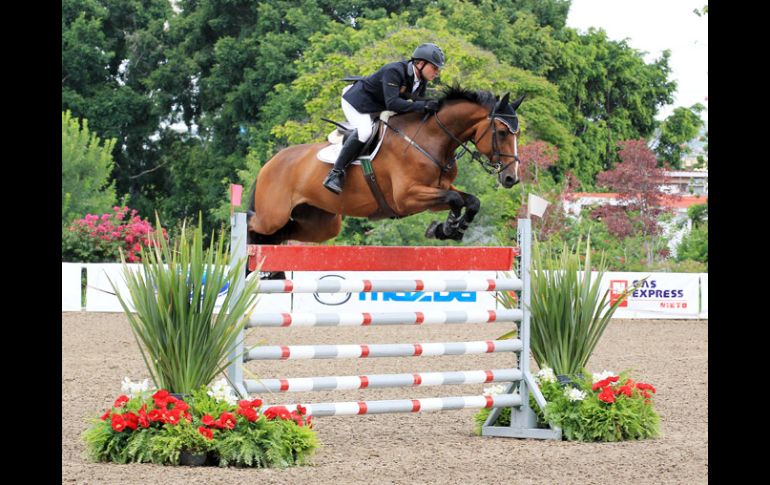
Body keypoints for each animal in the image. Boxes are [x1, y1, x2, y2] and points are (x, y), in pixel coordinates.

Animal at [246, 86, 520, 246]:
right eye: (502, 132)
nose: (511, 178)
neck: (431, 140)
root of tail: (269, 164)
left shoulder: (436, 192)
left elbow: (470, 201)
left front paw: (449, 229)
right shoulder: (407, 197)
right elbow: (455, 199)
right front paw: (448, 227)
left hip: (320, 223)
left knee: (282, 234)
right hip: (273, 215)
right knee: (253, 225)